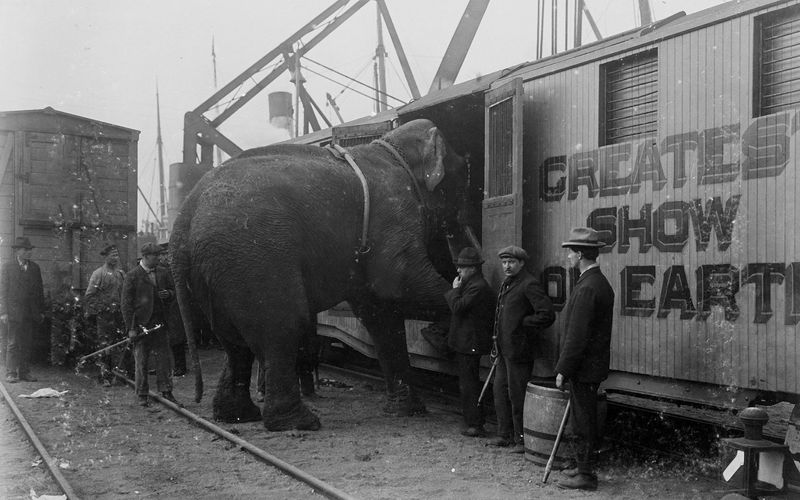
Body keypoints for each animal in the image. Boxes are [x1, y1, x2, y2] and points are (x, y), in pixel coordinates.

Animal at [168, 120, 468, 430]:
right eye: (465, 171)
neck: (391, 148)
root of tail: (183, 217)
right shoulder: (393, 210)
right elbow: (399, 281)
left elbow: (380, 313)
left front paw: (407, 411)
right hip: (253, 257)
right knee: (285, 323)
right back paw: (299, 422)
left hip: (214, 268)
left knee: (235, 342)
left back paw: (237, 416)